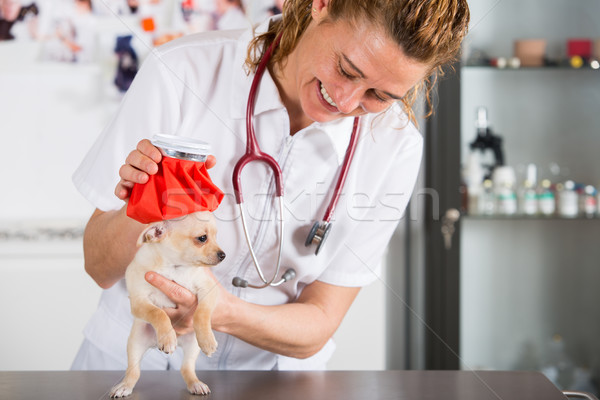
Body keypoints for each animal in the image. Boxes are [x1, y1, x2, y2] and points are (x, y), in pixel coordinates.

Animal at [108, 211, 225, 398]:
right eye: (202, 238)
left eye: (216, 236)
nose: (223, 255)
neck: (174, 268)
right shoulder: (139, 300)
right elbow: (158, 313)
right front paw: (168, 337)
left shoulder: (208, 290)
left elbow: (202, 312)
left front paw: (207, 340)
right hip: (135, 343)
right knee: (134, 371)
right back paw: (124, 386)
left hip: (192, 345)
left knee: (186, 368)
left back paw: (196, 384)